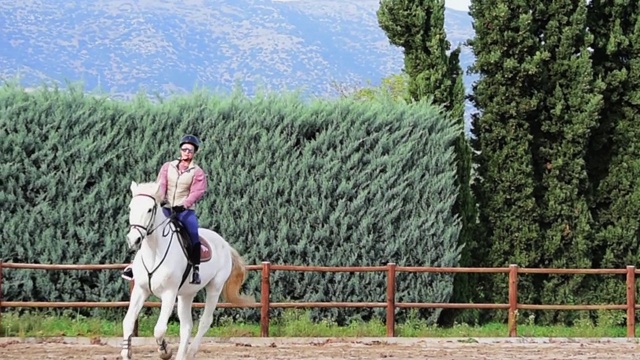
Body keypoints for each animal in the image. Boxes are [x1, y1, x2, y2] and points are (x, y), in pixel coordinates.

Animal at [120, 181, 252, 360]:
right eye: (131, 207)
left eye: (149, 209)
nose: (133, 239)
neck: (154, 251)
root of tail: (224, 243)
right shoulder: (141, 290)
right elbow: (128, 321)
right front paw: (126, 352)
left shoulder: (169, 293)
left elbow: (159, 329)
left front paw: (165, 351)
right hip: (186, 294)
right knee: (186, 326)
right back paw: (182, 355)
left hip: (214, 288)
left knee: (205, 321)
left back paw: (190, 352)